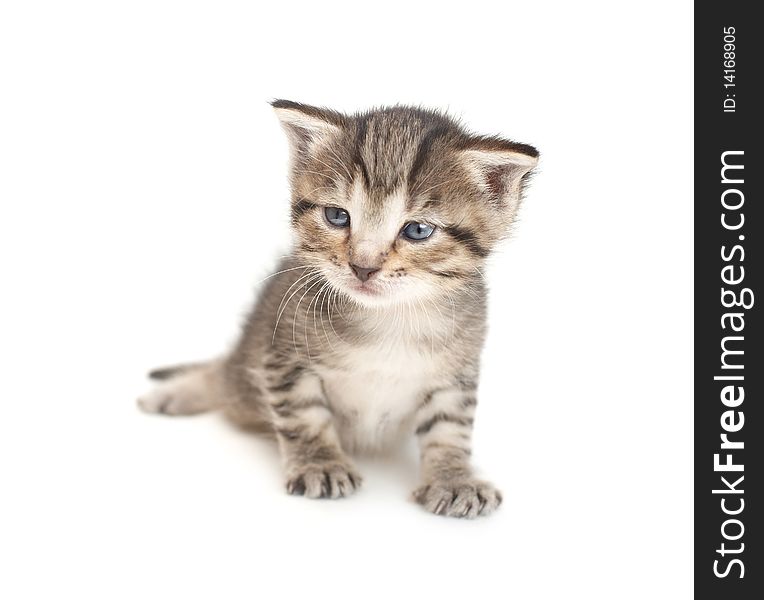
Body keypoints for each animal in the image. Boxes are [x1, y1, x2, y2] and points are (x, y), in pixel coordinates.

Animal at [142, 101, 536, 516]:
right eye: (337, 216)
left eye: (417, 231)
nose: (363, 266)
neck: (390, 319)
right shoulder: (284, 353)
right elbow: (304, 412)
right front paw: (320, 463)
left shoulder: (456, 373)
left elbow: (449, 427)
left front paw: (453, 477)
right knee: (223, 376)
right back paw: (174, 393)